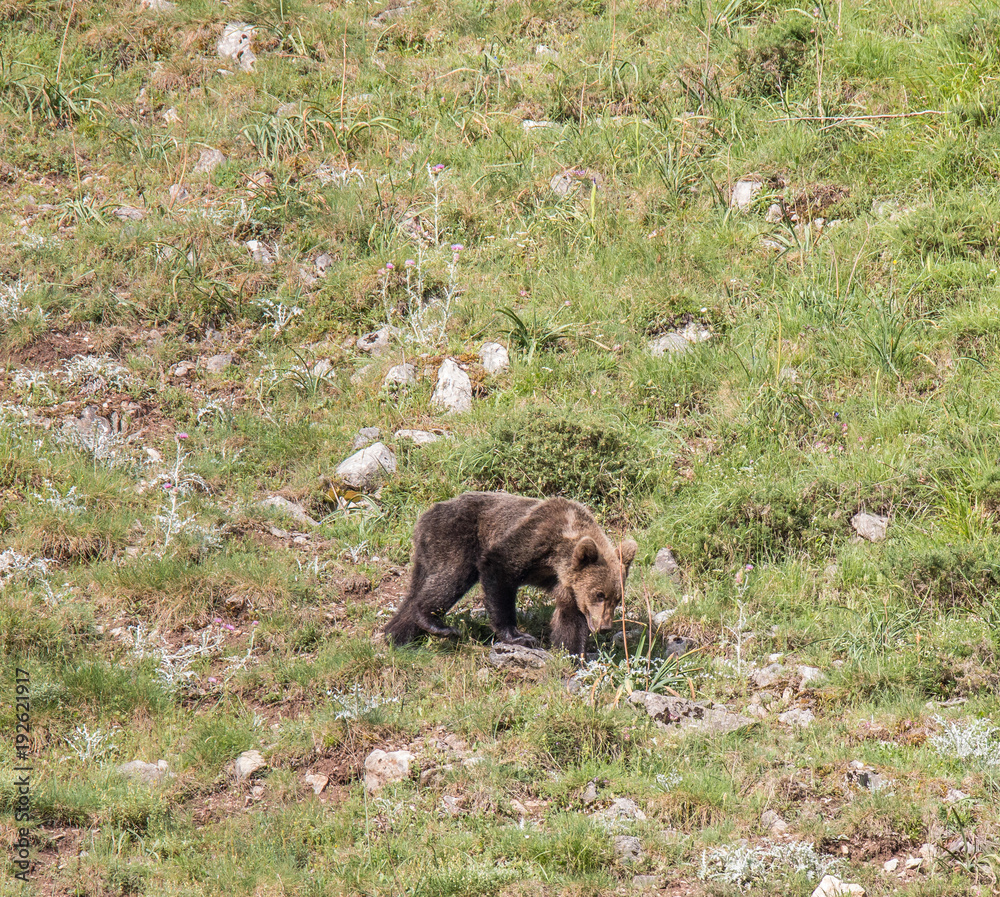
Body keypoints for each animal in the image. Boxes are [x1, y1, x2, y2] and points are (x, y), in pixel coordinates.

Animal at [383, 491, 638, 655]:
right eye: (599, 594)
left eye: (618, 599)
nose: (605, 626)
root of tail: (426, 514)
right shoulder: (534, 537)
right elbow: (500, 571)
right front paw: (519, 636)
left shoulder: (567, 583)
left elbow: (570, 617)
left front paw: (573, 654)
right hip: (457, 536)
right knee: (451, 576)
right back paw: (435, 623)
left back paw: (397, 635)